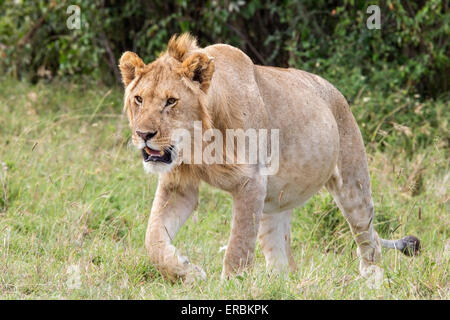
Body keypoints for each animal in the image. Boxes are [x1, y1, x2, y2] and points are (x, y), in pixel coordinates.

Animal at [118, 33, 420, 282]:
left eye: (171, 101)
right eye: (139, 99)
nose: (144, 134)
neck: (199, 144)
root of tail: (336, 93)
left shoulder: (251, 183)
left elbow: (238, 244)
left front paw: (232, 285)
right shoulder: (179, 185)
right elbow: (153, 239)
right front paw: (186, 271)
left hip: (352, 183)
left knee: (368, 236)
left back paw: (372, 278)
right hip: (273, 204)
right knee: (283, 259)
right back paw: (279, 284)